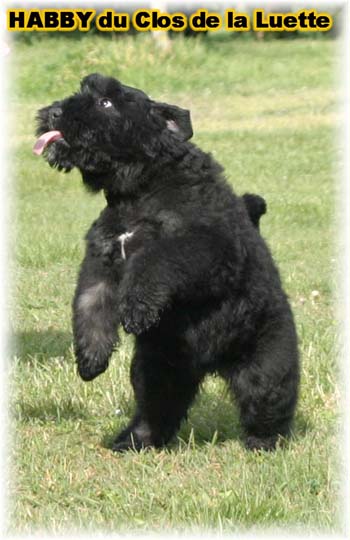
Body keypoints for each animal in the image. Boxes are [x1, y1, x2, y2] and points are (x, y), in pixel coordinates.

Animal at [34, 73, 300, 452]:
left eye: (106, 102)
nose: (54, 113)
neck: (139, 190)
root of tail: (210, 363)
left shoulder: (206, 245)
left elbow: (156, 260)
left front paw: (137, 307)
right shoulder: (102, 259)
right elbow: (90, 303)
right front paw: (90, 357)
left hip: (265, 367)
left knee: (268, 401)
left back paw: (264, 441)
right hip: (158, 370)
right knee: (158, 407)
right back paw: (135, 440)